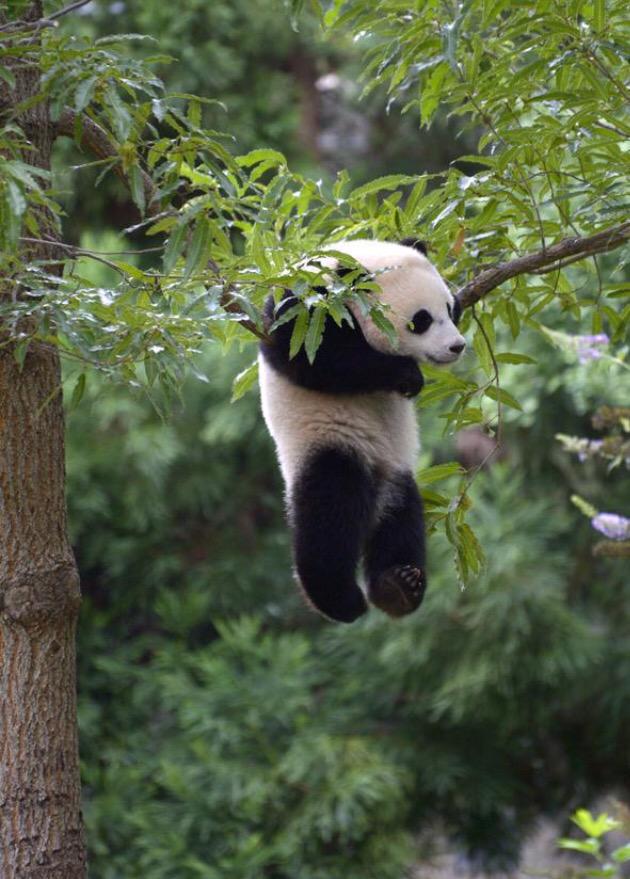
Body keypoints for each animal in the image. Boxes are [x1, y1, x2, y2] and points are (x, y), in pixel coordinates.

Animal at [258, 238, 466, 623]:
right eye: (421, 320)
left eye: (449, 307)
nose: (456, 346)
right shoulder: (303, 308)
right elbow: (314, 358)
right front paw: (406, 375)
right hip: (326, 441)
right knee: (329, 514)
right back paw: (340, 599)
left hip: (396, 471)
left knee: (401, 519)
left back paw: (397, 586)